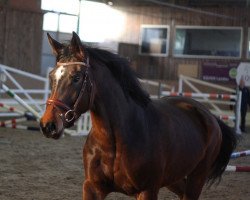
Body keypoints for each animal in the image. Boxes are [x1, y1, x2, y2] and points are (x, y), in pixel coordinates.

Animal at [39, 32, 236, 199]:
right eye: (52, 77)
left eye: (77, 77)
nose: (48, 125)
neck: (115, 142)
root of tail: (210, 116)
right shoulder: (92, 188)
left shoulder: (147, 190)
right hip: (174, 177)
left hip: (197, 178)